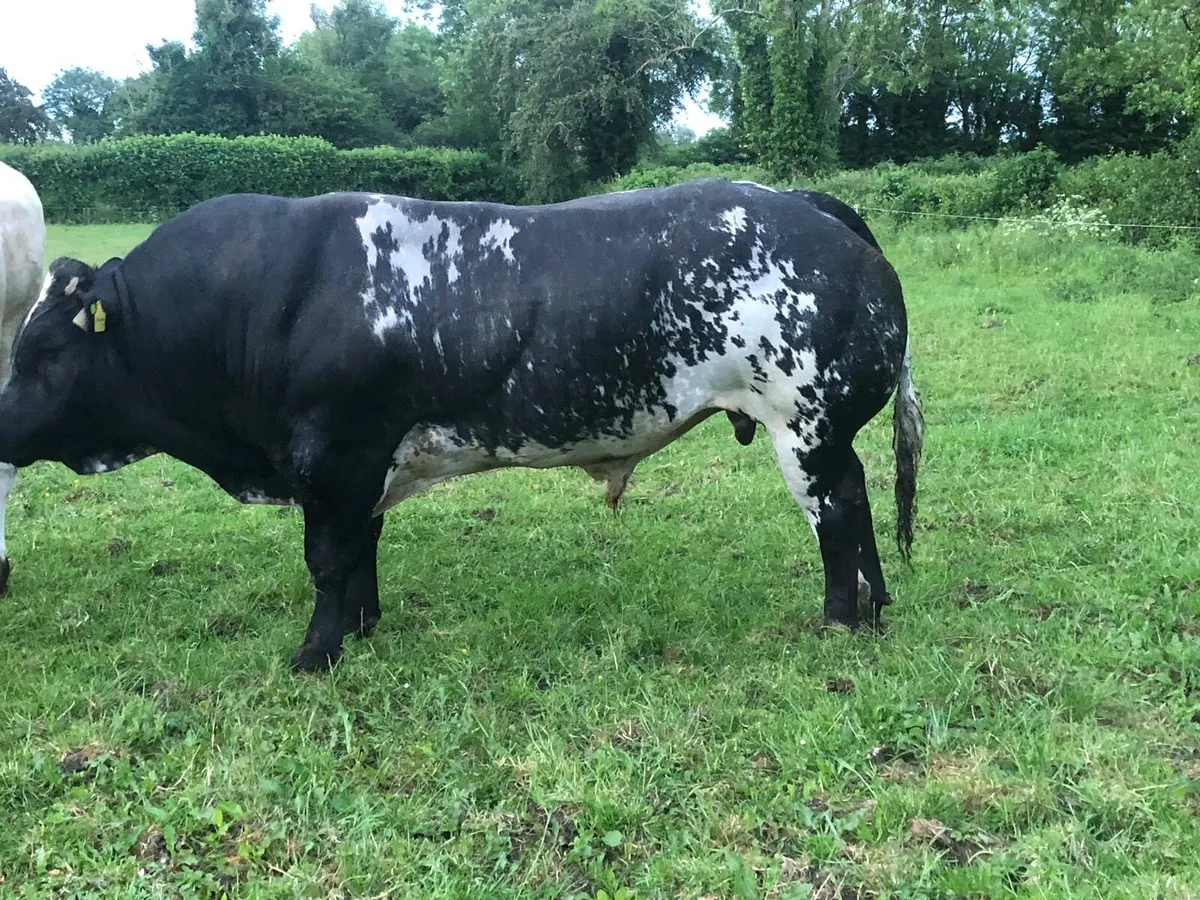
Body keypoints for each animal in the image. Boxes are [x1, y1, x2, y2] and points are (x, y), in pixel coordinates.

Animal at [0, 178, 923, 672]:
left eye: (43, 352)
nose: (0, 421)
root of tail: (803, 201)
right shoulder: (358, 468)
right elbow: (359, 552)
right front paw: (363, 627)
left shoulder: (333, 456)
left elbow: (327, 560)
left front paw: (316, 655)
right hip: (824, 432)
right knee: (860, 501)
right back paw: (877, 603)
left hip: (803, 425)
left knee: (838, 512)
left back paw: (841, 618)